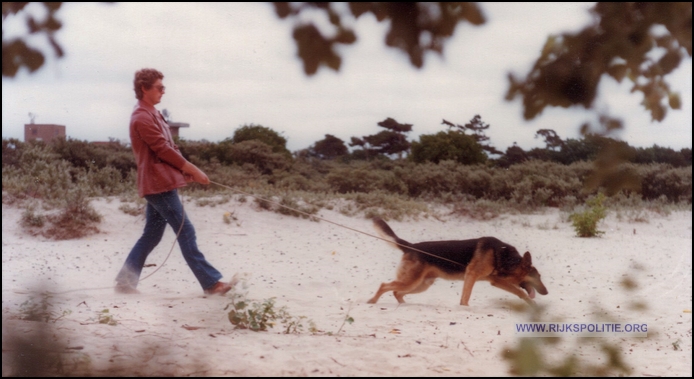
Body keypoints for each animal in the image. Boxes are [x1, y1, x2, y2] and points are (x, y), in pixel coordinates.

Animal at [370, 218, 548, 308]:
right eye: (538, 276)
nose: (546, 293)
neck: (506, 258)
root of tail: (411, 246)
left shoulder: (496, 281)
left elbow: (520, 292)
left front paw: (532, 304)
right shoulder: (472, 275)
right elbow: (466, 296)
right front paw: (464, 307)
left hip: (420, 285)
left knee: (396, 292)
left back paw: (404, 305)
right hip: (411, 282)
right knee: (384, 286)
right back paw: (372, 301)